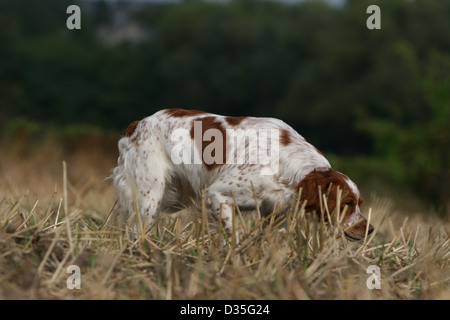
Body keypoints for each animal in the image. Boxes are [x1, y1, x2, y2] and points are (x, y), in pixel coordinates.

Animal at [111, 109, 372, 241]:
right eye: (347, 203)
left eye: (359, 203)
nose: (370, 230)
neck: (285, 162)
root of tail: (138, 124)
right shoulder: (218, 194)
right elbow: (231, 236)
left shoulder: (273, 211)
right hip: (150, 195)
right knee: (137, 230)